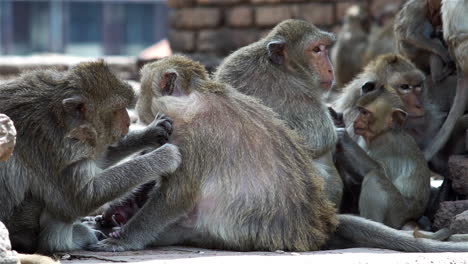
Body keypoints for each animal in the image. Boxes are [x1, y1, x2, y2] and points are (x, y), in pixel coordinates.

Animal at [0, 61, 181, 254]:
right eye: (117, 110)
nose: (128, 122)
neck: (60, 118)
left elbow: (98, 158)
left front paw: (152, 132)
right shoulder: (54, 148)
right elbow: (82, 198)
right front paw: (164, 157)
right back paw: (65, 241)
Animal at [88, 54, 468, 253]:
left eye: (143, 92)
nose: (138, 109)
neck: (192, 99)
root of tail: (316, 228)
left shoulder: (196, 136)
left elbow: (175, 195)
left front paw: (124, 238)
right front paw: (118, 209)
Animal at [216, 18, 344, 208]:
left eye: (325, 48)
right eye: (316, 50)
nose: (330, 69)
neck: (282, 67)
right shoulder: (300, 94)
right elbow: (319, 138)